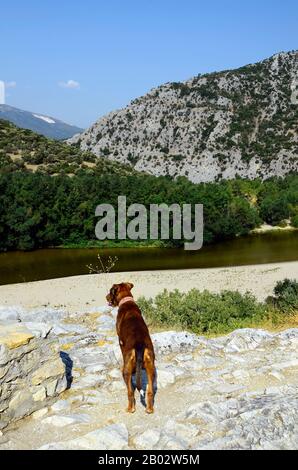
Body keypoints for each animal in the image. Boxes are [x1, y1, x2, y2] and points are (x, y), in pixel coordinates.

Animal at [106, 282, 155, 412]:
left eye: (110, 291)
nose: (106, 297)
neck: (126, 301)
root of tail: (139, 346)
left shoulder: (120, 341)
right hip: (151, 367)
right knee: (150, 391)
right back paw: (149, 409)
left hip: (126, 370)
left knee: (130, 391)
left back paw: (130, 408)